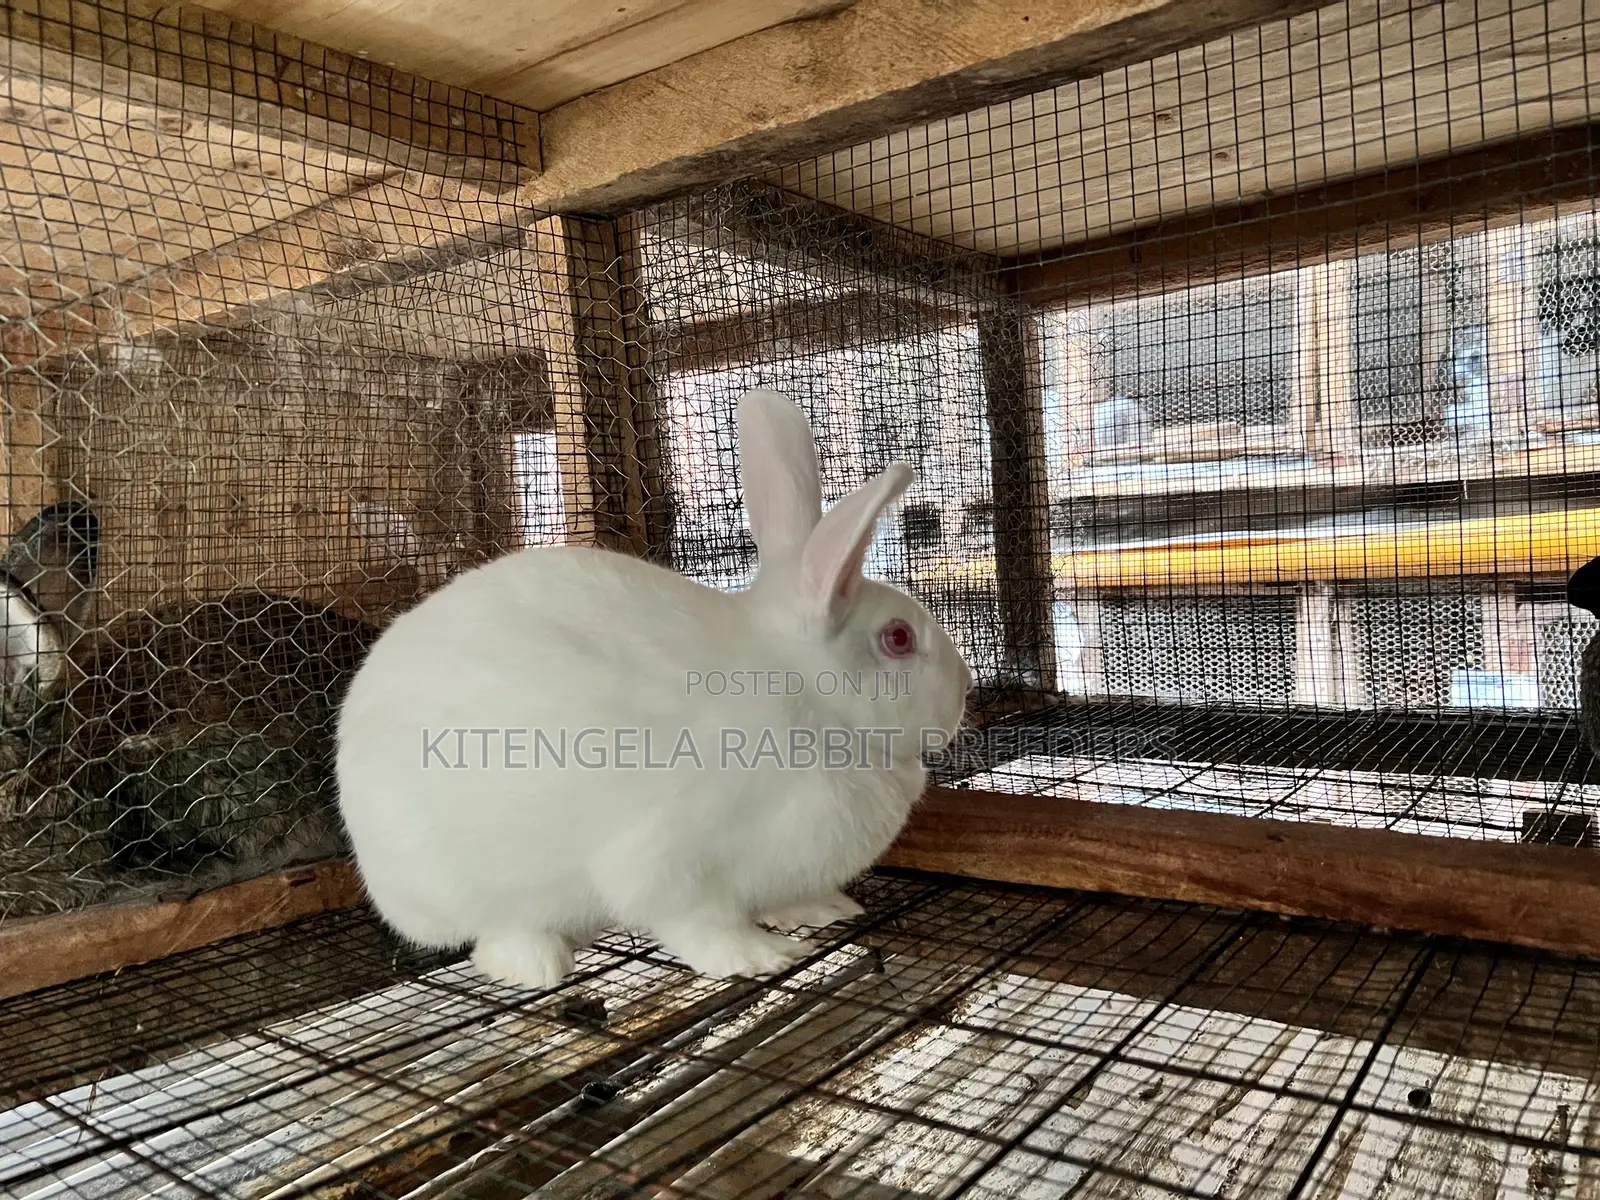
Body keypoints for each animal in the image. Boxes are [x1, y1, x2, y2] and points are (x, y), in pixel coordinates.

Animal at [336, 388, 975, 990]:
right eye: (898, 638)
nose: (966, 687)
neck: (810, 697)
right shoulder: (667, 860)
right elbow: (700, 923)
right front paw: (760, 957)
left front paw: (824, 911)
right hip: (486, 879)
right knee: (499, 937)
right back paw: (541, 964)